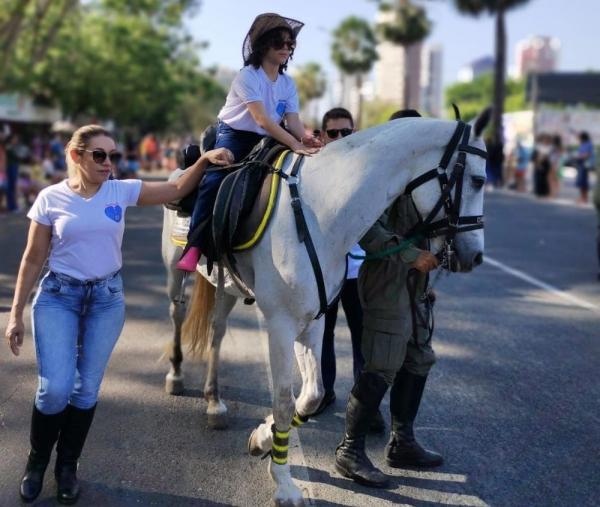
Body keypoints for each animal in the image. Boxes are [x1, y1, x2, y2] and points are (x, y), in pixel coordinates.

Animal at [162, 113, 490, 506]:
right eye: (478, 180)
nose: (475, 256)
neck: (320, 212)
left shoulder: (313, 320)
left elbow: (310, 396)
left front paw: (262, 439)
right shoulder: (281, 325)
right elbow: (284, 401)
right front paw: (284, 483)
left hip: (224, 287)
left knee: (217, 332)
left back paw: (215, 404)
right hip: (175, 272)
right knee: (177, 316)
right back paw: (176, 376)